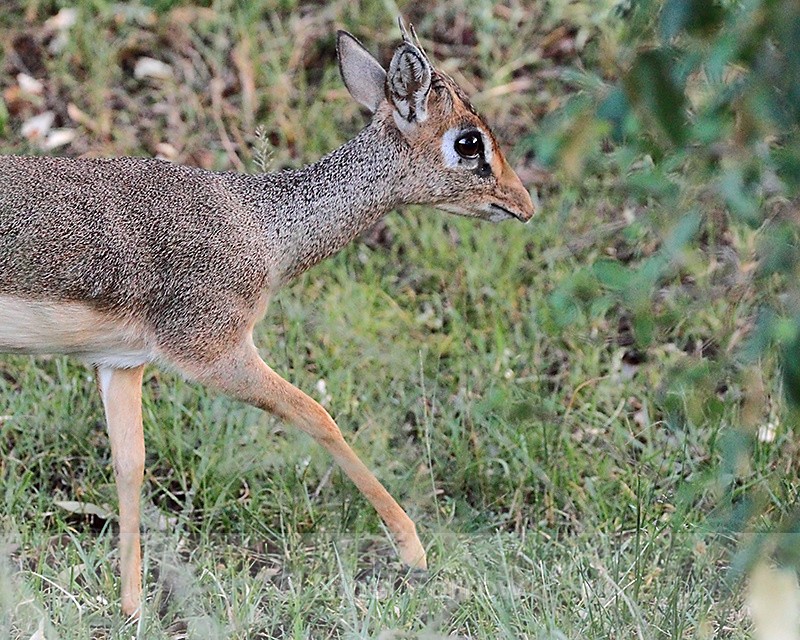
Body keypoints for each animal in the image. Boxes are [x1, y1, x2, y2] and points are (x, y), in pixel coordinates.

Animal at [0, 24, 535, 616]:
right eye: (469, 142)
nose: (523, 203)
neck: (263, 227)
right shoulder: (216, 354)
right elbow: (318, 415)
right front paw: (413, 551)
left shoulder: (122, 364)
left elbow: (129, 465)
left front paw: (133, 608)